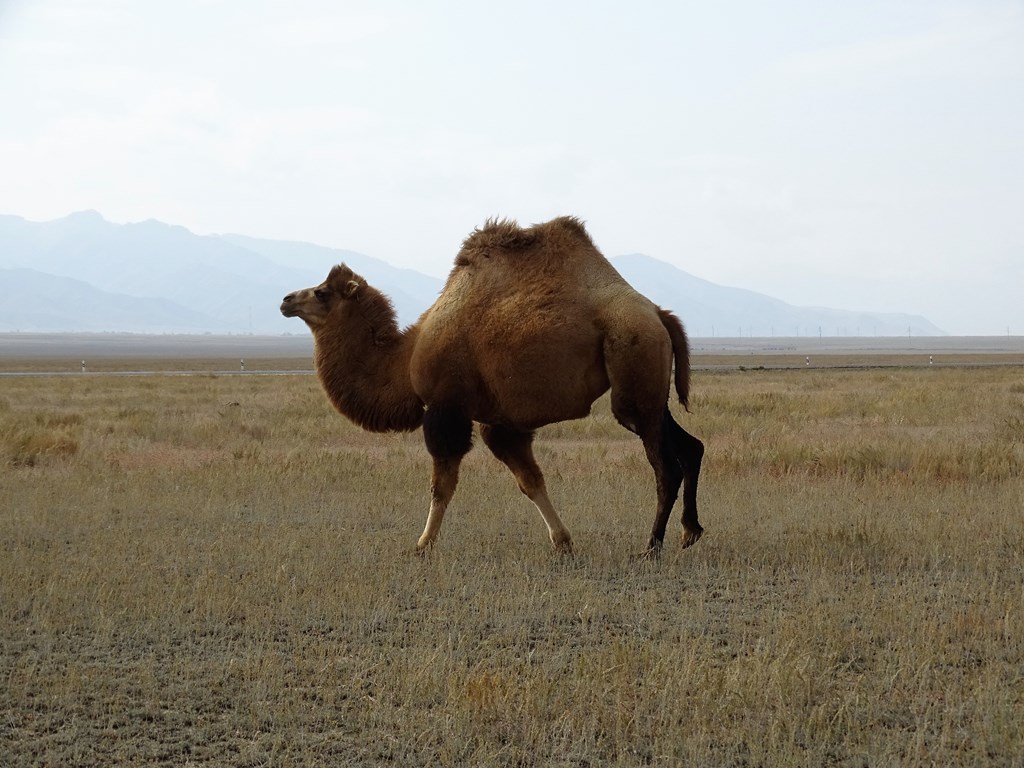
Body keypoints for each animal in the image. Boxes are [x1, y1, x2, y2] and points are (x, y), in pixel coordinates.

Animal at [280, 217, 704, 552]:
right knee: (691, 446)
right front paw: (563, 542)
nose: (286, 300)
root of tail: (659, 314)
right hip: (649, 390)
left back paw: (651, 546)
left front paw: (422, 544)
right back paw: (690, 532)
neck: (406, 356)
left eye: (321, 292)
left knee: (665, 466)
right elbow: (530, 480)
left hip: (633, 364)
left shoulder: (446, 407)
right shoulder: (499, 421)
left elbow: (442, 485)